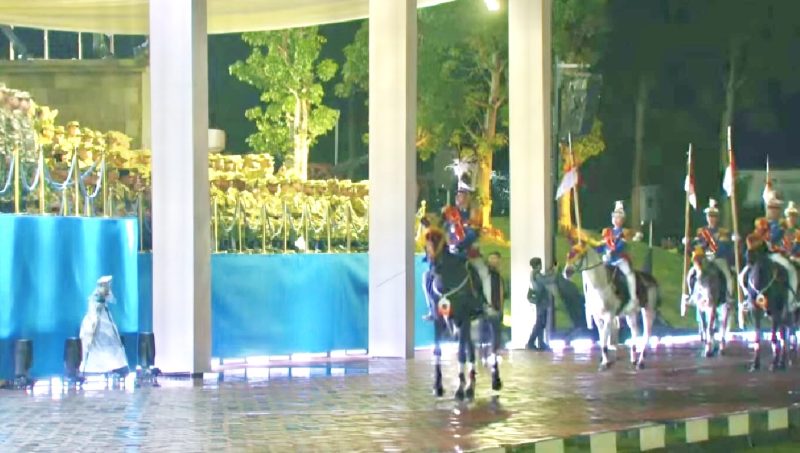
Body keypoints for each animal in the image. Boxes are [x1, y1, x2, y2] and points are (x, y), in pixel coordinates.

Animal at [423, 227, 501, 400]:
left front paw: (459, 389)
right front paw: (438, 386)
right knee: (471, 351)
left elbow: (460, 353)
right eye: (426, 244)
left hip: (491, 319)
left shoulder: (464, 318)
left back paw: (495, 380)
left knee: (493, 347)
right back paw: (470, 387)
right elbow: (438, 351)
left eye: (441, 244)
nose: (434, 267)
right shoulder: (440, 321)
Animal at [563, 241, 659, 370]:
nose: (566, 272)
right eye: (568, 255)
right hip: (631, 313)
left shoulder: (609, 316)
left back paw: (641, 362)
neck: (600, 286)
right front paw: (605, 360)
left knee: (646, 335)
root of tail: (652, 280)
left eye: (579, 255)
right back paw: (633, 360)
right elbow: (602, 338)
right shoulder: (597, 318)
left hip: (649, 311)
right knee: (635, 331)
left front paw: (605, 363)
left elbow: (604, 340)